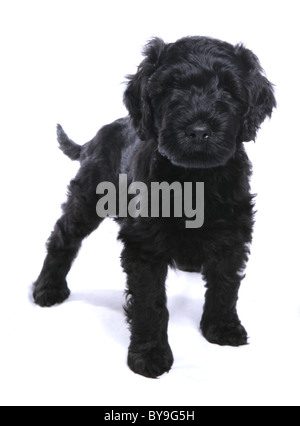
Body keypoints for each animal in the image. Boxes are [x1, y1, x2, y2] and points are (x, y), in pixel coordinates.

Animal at [32, 35, 274, 376]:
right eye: (171, 88)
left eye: (227, 89)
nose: (199, 130)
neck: (194, 179)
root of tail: (96, 136)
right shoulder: (144, 247)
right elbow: (150, 303)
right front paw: (150, 355)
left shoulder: (233, 234)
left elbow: (226, 285)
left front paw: (222, 328)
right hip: (87, 198)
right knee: (62, 237)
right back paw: (48, 288)